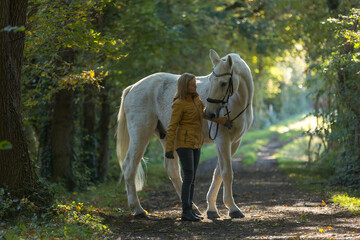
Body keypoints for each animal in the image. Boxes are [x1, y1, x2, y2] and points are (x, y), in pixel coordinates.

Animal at [115, 49, 253, 219]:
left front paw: (212, 209)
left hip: (167, 135)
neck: (238, 102)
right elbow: (226, 172)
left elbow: (218, 173)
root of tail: (133, 87)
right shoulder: (222, 140)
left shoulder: (234, 142)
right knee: (129, 166)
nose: (210, 113)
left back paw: (192, 207)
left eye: (223, 83)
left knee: (172, 169)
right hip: (141, 133)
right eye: (211, 80)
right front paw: (233, 208)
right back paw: (138, 210)